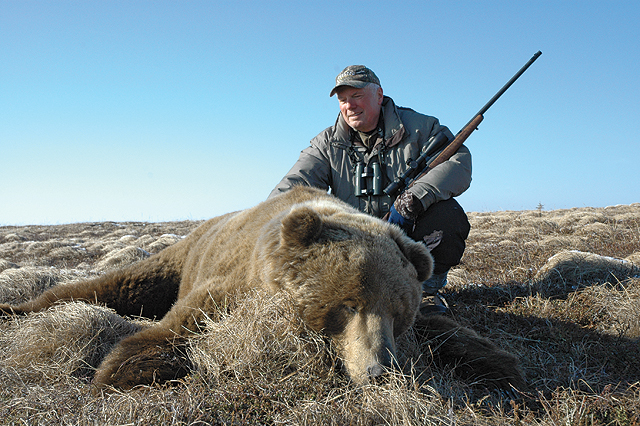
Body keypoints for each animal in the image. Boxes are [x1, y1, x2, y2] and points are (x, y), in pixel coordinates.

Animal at [0, 186, 524, 391]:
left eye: (399, 310)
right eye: (346, 304)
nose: (379, 371)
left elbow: (446, 332)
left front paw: (499, 363)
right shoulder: (235, 287)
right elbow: (176, 329)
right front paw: (127, 366)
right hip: (176, 260)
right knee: (116, 285)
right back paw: (19, 309)